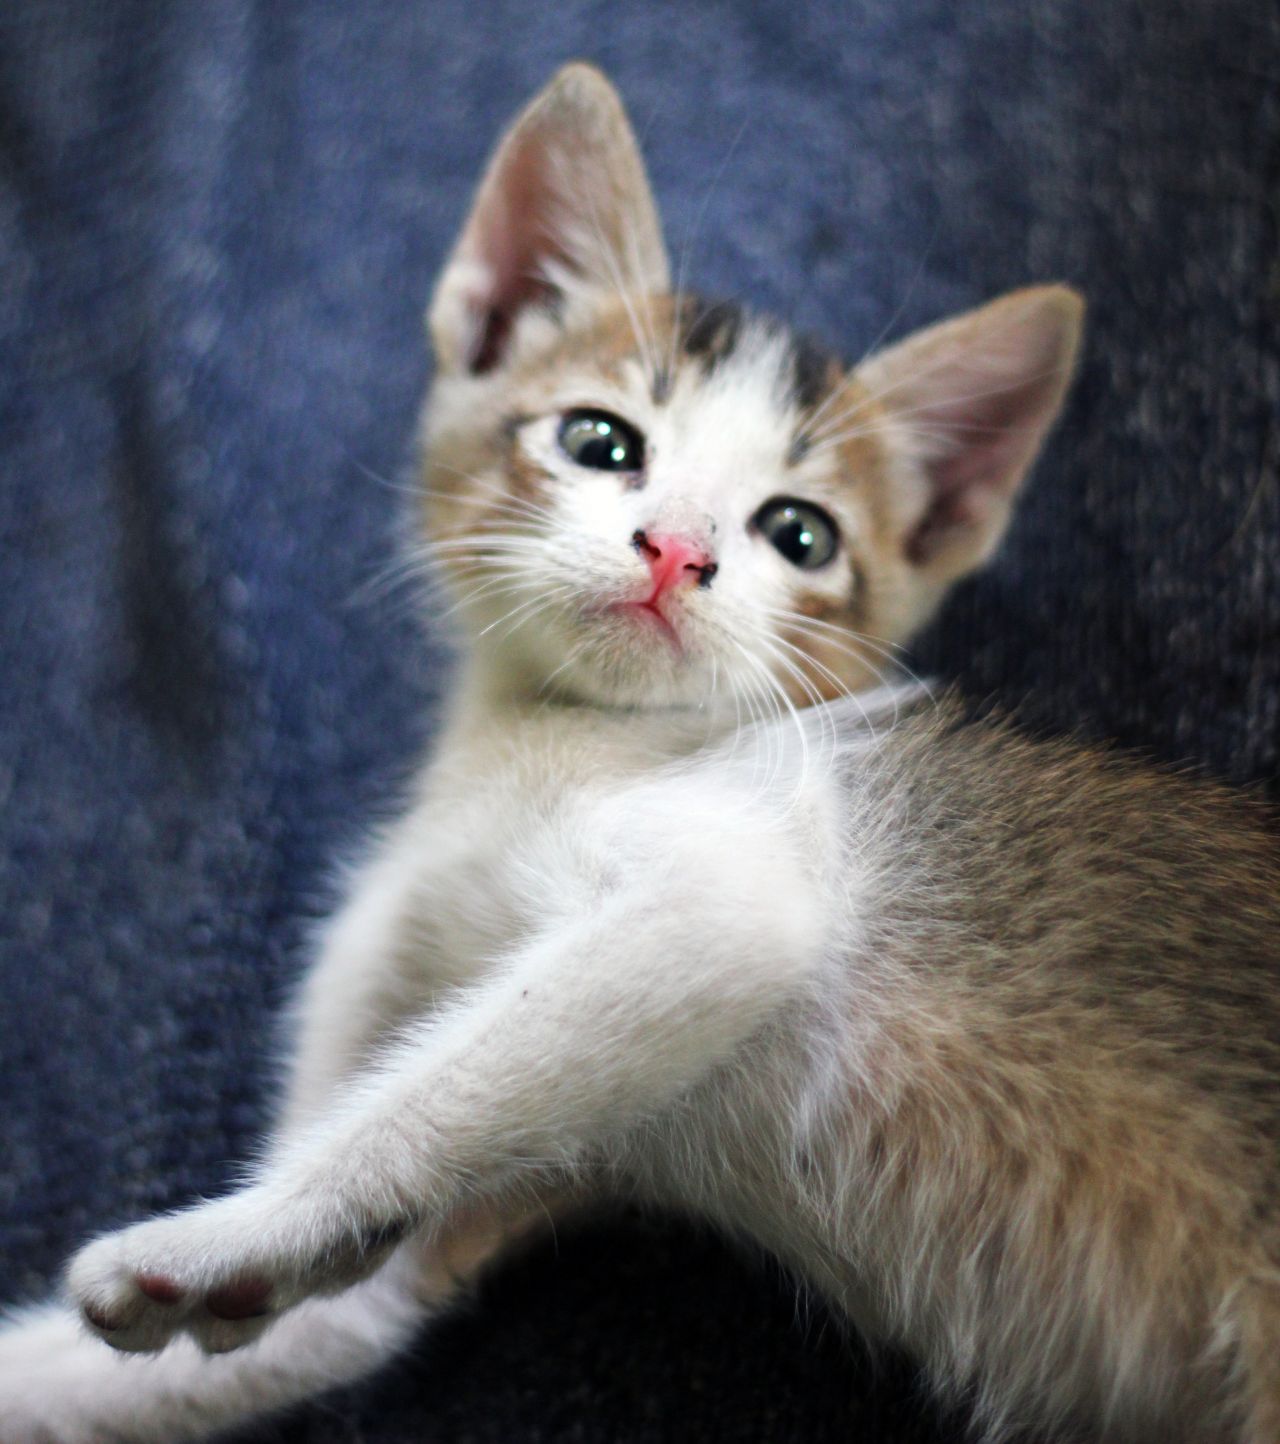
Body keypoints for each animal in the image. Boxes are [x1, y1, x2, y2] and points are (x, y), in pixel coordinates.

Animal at [2, 59, 1280, 1444]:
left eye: (798, 532)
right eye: (600, 443)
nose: (676, 549)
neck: (543, 745)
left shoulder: (739, 877)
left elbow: (459, 1074)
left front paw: (232, 1232)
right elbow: (321, 1320)